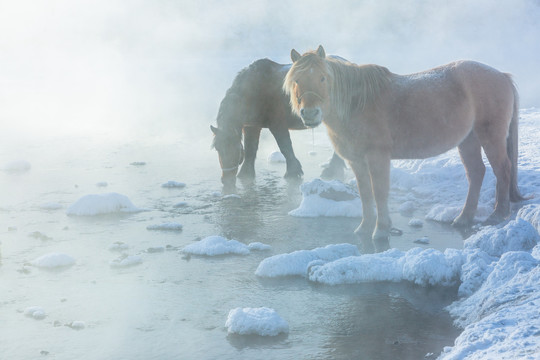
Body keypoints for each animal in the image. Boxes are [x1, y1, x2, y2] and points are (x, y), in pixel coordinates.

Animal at [211, 58, 346, 194]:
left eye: (237, 149)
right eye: (217, 148)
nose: (226, 179)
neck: (255, 89)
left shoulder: (277, 124)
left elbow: (285, 146)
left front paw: (293, 172)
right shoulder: (251, 126)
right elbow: (251, 149)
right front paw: (246, 174)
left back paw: (331, 170)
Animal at [282, 46, 524, 252]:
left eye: (323, 78)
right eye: (297, 80)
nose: (310, 114)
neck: (357, 104)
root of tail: (501, 75)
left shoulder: (377, 157)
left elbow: (379, 192)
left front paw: (381, 231)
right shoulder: (356, 161)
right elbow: (365, 194)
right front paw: (364, 228)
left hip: (490, 136)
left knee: (502, 170)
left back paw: (497, 215)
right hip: (468, 140)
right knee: (476, 173)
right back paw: (464, 218)